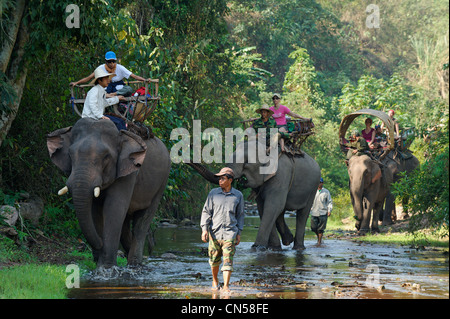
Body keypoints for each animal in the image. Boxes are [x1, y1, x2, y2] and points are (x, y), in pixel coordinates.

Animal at [46, 117, 171, 268]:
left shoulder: (129, 173)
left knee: (141, 223)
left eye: (106, 156)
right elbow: (95, 211)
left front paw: (106, 268)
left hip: (162, 182)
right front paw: (100, 263)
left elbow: (114, 208)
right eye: (70, 154)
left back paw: (135, 264)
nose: (100, 244)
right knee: (125, 226)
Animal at [188, 140, 322, 252]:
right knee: (281, 212)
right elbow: (263, 208)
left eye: (247, 163)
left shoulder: (281, 176)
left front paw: (257, 247)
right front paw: (273, 248)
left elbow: (273, 206)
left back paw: (298, 248)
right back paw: (288, 240)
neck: (266, 149)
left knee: (302, 213)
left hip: (313, 187)